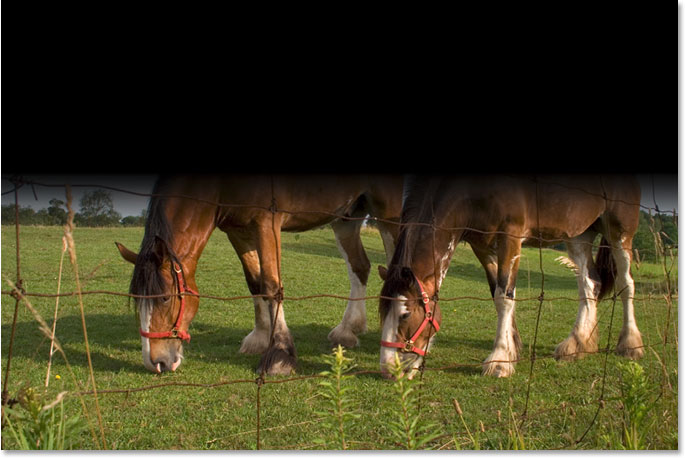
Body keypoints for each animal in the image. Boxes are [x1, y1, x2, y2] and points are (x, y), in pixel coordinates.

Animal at [113, 174, 400, 374]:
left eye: (164, 298)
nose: (155, 362)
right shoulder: (237, 231)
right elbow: (255, 282)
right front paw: (261, 337)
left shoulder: (266, 223)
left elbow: (272, 284)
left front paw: (280, 354)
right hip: (346, 217)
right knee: (360, 266)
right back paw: (348, 329)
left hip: (388, 211)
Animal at [376, 174, 644, 380]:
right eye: (382, 312)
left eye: (406, 315)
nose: (389, 369)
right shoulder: (481, 246)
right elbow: (497, 294)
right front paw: (512, 347)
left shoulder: (511, 237)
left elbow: (505, 296)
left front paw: (500, 359)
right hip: (579, 234)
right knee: (589, 285)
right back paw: (576, 344)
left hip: (620, 231)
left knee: (626, 284)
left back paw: (630, 344)